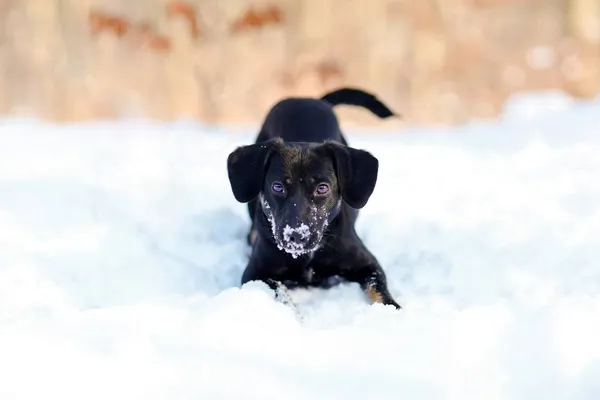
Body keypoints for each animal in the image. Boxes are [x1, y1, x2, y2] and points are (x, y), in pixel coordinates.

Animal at [227, 86, 400, 310]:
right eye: (277, 187)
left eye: (322, 188)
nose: (296, 236)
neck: (308, 256)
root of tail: (308, 99)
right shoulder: (254, 275)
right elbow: (279, 291)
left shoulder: (368, 265)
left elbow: (379, 291)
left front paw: (393, 310)